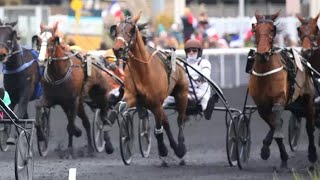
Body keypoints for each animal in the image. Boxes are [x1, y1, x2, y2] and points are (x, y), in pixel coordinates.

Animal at [34, 21, 116, 158]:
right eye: (39, 39)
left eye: (52, 40)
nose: (42, 60)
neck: (59, 73)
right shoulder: (50, 99)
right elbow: (38, 106)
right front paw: (41, 135)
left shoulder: (73, 101)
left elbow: (71, 126)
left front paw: (77, 132)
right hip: (77, 105)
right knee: (86, 122)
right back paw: (87, 148)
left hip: (97, 94)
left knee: (103, 112)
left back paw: (106, 141)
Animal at [110, 12, 189, 165]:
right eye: (116, 30)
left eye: (131, 30)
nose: (118, 49)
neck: (143, 70)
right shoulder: (132, 96)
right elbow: (120, 106)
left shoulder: (156, 103)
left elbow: (159, 129)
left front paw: (163, 150)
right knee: (167, 122)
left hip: (181, 94)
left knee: (180, 120)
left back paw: (180, 149)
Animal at [249, 11, 316, 168]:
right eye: (255, 30)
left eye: (272, 29)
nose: (263, 54)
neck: (265, 74)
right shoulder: (262, 106)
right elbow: (275, 126)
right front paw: (269, 151)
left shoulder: (279, 99)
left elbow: (278, 125)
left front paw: (283, 158)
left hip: (308, 99)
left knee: (309, 127)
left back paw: (312, 155)